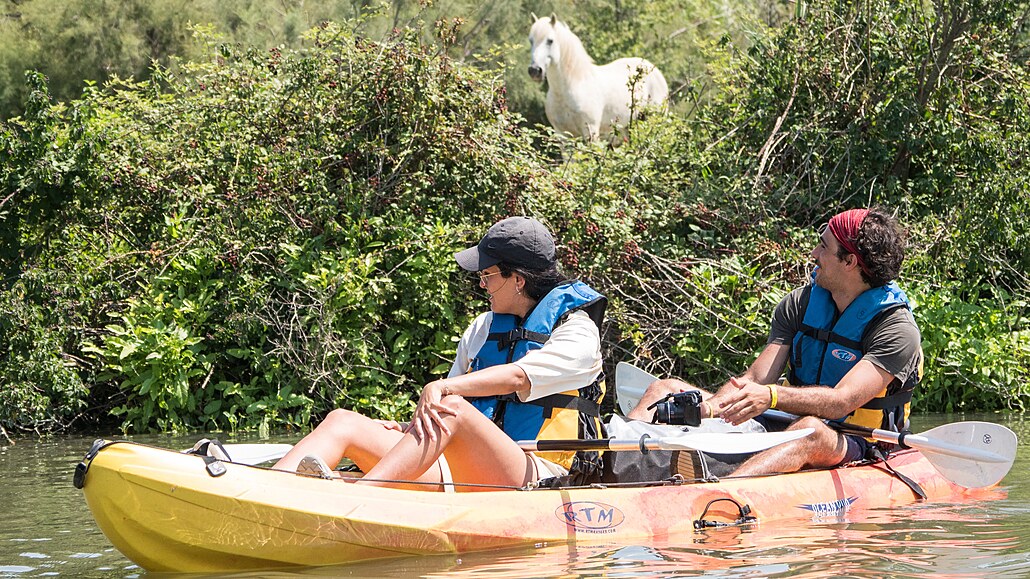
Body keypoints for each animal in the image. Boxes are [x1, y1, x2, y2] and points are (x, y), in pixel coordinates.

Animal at [527, 13, 671, 142]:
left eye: (550, 40)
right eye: (531, 40)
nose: (535, 70)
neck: (573, 85)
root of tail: (654, 69)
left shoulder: (590, 131)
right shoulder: (563, 135)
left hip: (654, 120)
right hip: (628, 126)